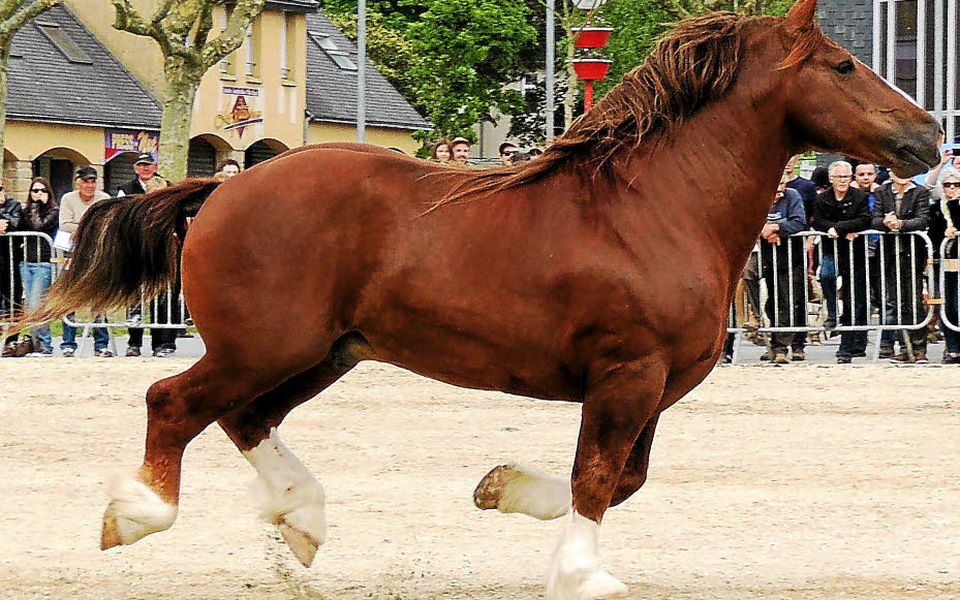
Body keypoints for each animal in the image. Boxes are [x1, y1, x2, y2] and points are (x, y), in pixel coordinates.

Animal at [26, 1, 940, 598]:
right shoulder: (629, 375)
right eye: (843, 65)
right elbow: (597, 477)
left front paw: (499, 487)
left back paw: (302, 523)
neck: (655, 207)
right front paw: (581, 573)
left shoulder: (653, 387)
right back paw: (137, 515)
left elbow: (620, 478)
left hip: (326, 352)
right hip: (265, 345)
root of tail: (220, 188)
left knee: (245, 419)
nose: (928, 134)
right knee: (174, 401)